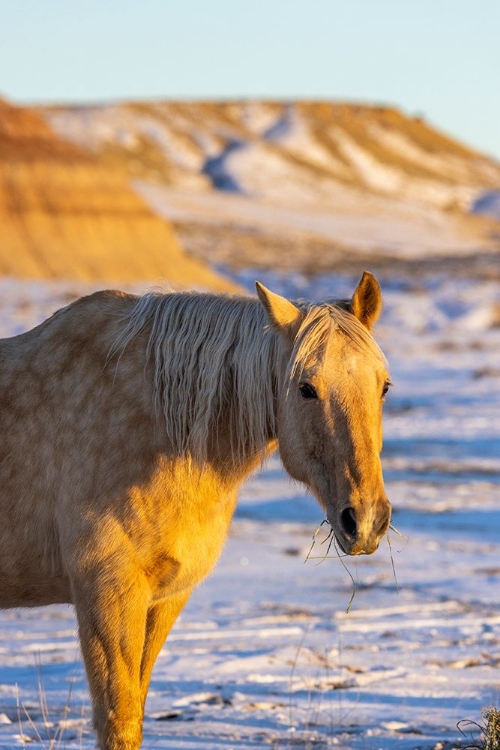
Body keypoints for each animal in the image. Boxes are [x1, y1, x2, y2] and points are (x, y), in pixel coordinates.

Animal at [0, 274, 390, 748]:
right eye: (306, 389)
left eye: (384, 386)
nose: (366, 521)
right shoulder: (105, 591)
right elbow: (118, 721)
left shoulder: (165, 597)